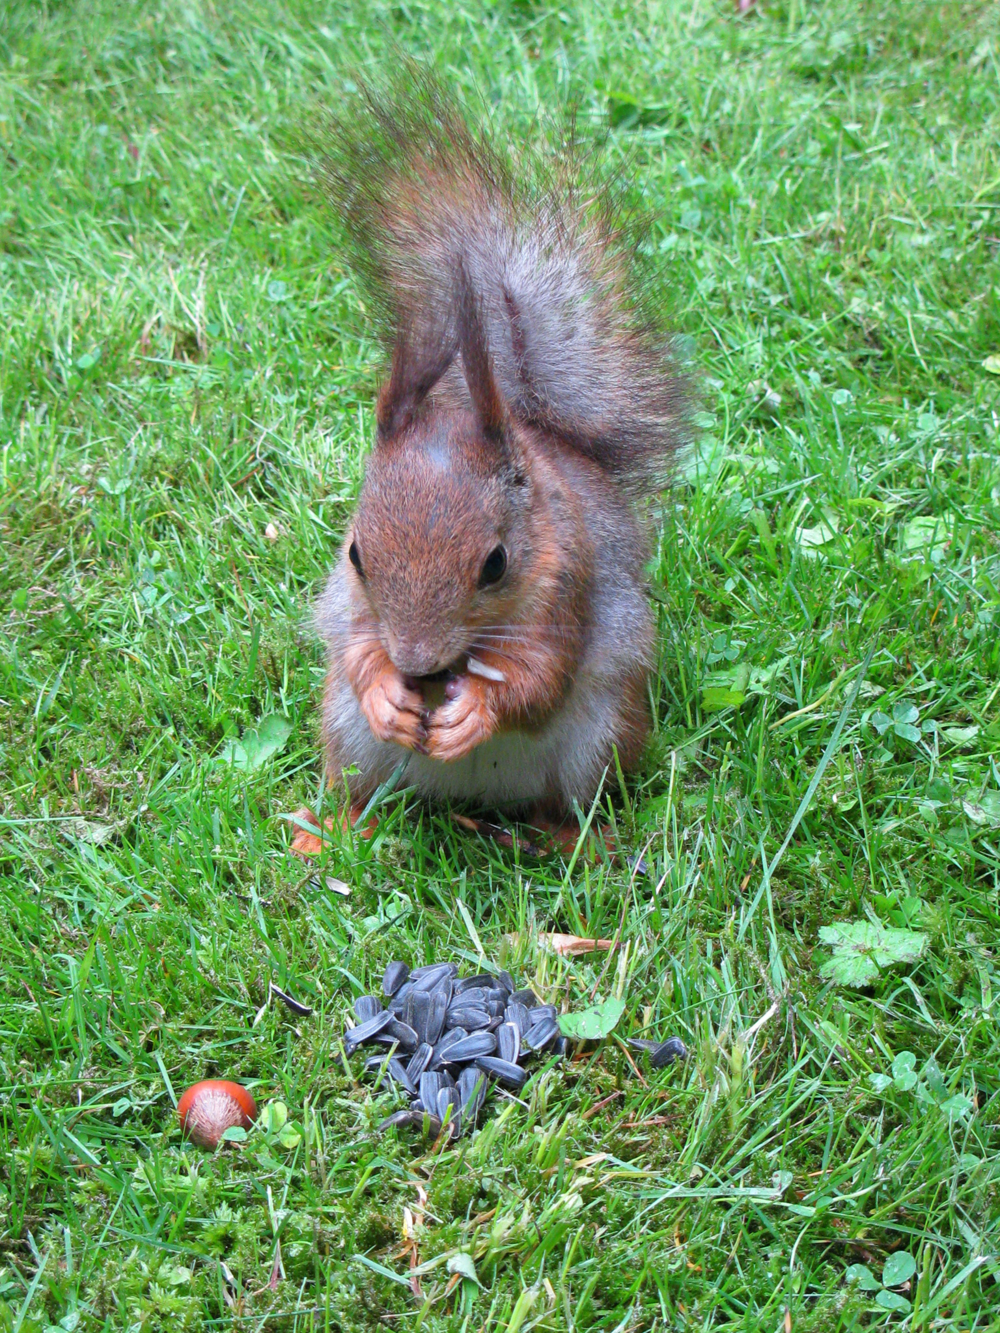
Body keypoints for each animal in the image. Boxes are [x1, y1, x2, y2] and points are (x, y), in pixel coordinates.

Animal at [314, 80, 688, 821]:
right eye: (356, 554)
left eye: (496, 564)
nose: (418, 663)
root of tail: (474, 798)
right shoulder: (352, 607)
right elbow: (356, 651)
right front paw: (387, 692)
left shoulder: (568, 578)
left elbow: (542, 679)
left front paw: (477, 712)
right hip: (343, 732)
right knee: (354, 785)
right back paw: (328, 829)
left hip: (604, 740)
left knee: (576, 801)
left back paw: (572, 837)